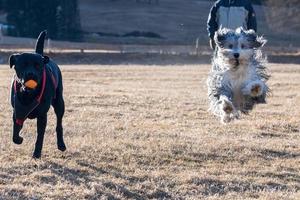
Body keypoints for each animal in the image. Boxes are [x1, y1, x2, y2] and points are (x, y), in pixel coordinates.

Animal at [9, 30, 66, 159]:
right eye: (23, 64)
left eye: (37, 65)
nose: (31, 74)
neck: (28, 93)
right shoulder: (17, 111)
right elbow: (15, 134)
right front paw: (19, 139)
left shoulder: (42, 116)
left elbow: (40, 137)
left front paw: (36, 153)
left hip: (59, 103)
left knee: (59, 124)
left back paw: (61, 144)